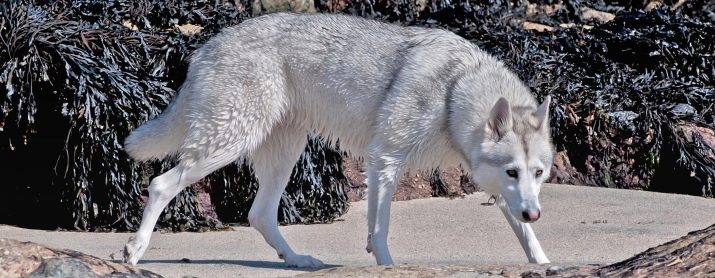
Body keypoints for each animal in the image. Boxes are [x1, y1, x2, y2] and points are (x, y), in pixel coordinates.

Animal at [121, 12, 552, 268]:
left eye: (539, 174)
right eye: (512, 171)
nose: (536, 213)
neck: (454, 89)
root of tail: (206, 46)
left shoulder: (491, 186)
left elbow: (530, 241)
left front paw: (545, 264)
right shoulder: (386, 159)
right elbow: (380, 230)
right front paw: (387, 267)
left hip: (283, 156)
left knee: (259, 215)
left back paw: (297, 260)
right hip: (227, 145)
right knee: (160, 185)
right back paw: (134, 252)